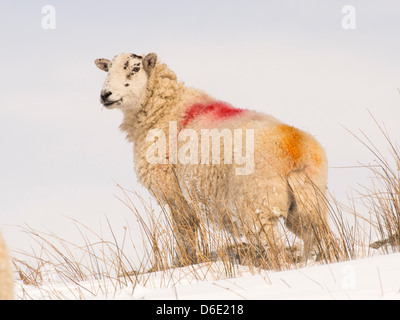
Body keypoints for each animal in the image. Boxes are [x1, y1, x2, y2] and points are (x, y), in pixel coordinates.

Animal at [96, 52, 328, 266]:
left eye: (135, 69)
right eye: (108, 69)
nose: (105, 95)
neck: (166, 109)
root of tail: (296, 149)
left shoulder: (174, 194)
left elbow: (185, 231)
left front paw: (184, 262)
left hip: (257, 209)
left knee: (276, 254)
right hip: (305, 208)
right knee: (317, 239)